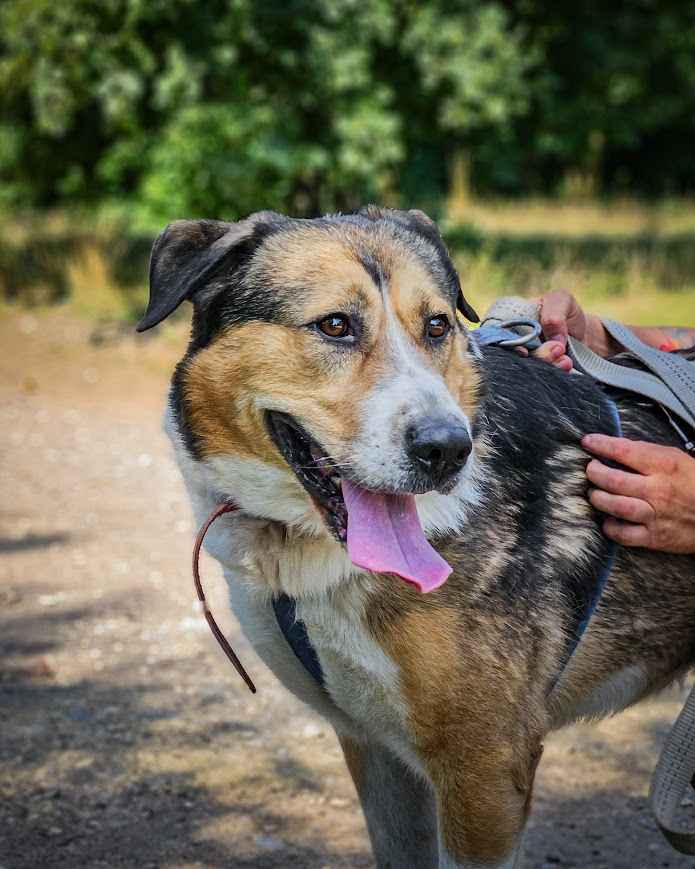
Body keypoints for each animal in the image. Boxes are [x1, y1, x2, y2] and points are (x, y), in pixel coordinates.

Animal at [137, 209, 695, 868]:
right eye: (334, 325)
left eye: (437, 326)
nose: (449, 449)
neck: (304, 555)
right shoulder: (371, 743)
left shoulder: (485, 769)